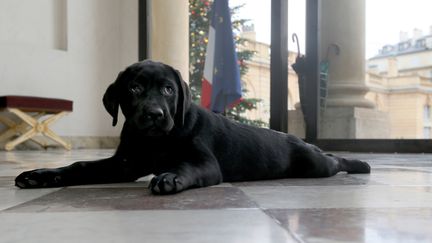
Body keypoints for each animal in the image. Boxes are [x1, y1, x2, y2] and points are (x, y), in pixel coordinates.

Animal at [14, 59, 372, 195]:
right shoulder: (124, 164)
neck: (156, 140)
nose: (155, 114)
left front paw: (170, 177)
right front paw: (41, 175)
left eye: (169, 89)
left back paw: (360, 162)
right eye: (135, 89)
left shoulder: (204, 163)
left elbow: (187, 167)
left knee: (333, 160)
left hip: (314, 165)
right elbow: (81, 165)